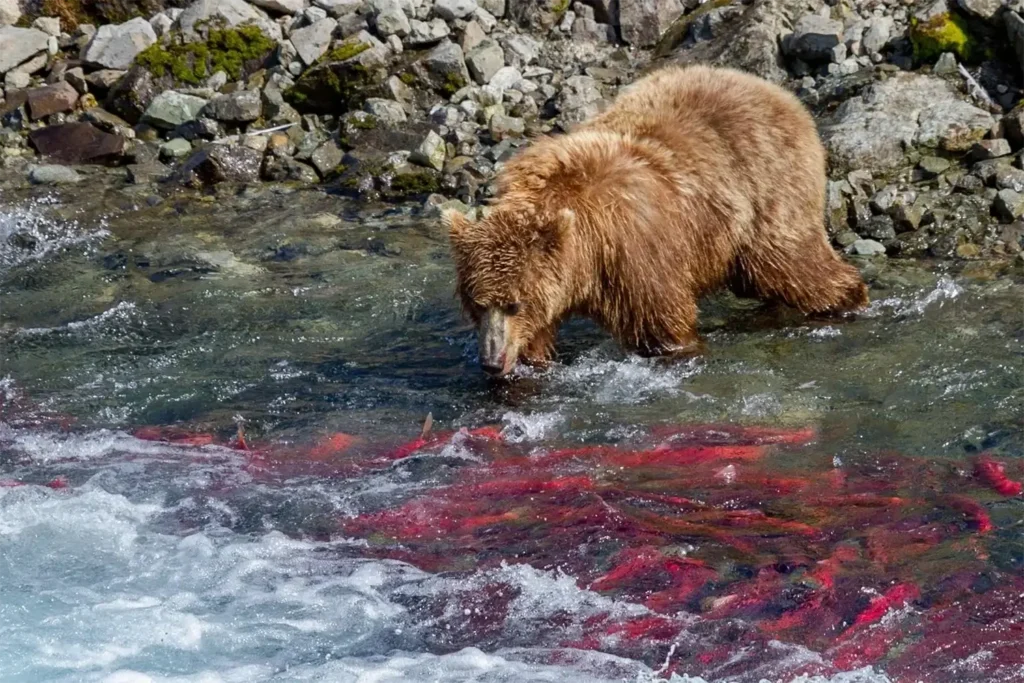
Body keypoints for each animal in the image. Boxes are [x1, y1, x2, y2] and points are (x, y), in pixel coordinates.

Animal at [444, 64, 869, 377]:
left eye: (513, 304)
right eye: (478, 303)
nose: (491, 362)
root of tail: (779, 93)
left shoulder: (635, 256)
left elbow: (663, 323)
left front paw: (676, 350)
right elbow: (536, 341)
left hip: (767, 193)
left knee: (792, 263)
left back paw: (848, 298)